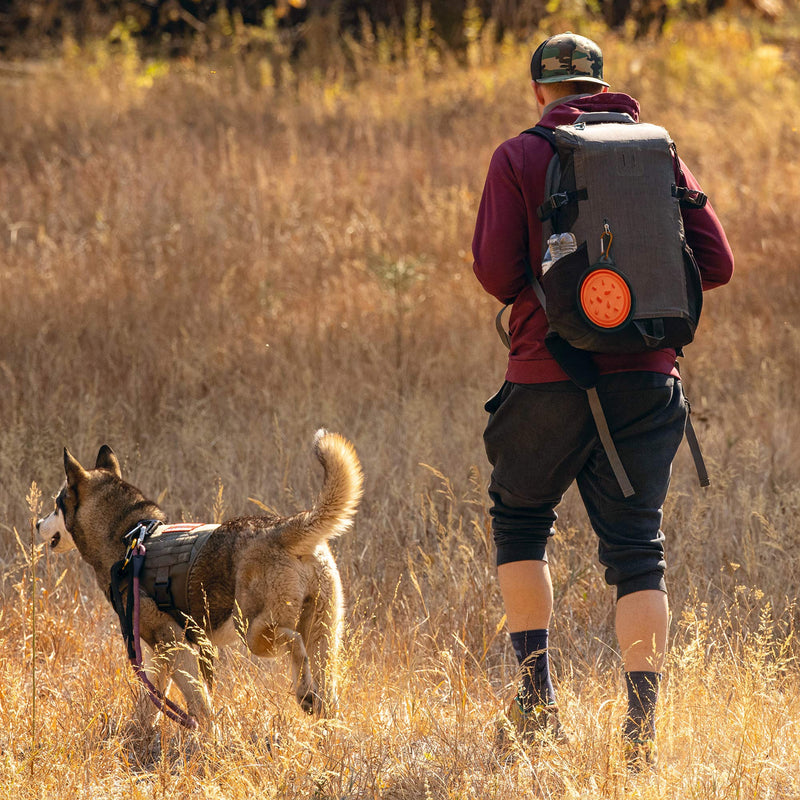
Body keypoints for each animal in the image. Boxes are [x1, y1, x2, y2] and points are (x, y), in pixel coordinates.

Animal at [36, 428, 362, 736]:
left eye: (56, 504)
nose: (38, 523)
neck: (129, 538)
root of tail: (282, 529)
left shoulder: (174, 645)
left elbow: (199, 703)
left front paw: (210, 739)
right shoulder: (160, 653)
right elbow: (151, 702)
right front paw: (137, 735)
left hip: (254, 632)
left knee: (294, 644)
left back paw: (304, 694)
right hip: (323, 634)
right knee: (326, 690)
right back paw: (328, 728)